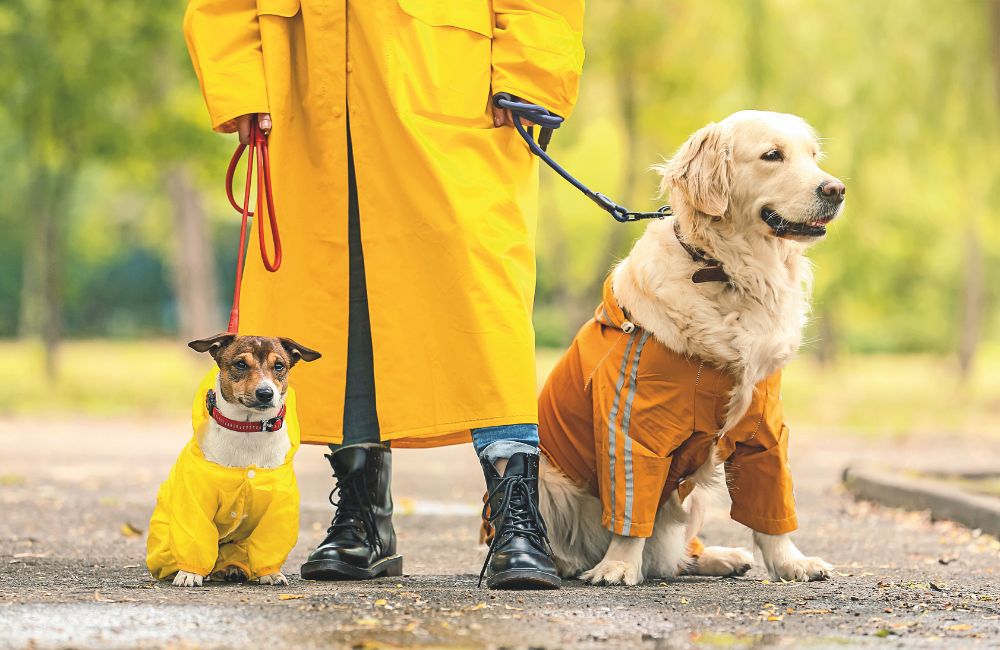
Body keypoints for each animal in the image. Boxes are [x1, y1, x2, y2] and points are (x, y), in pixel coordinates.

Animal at [146, 332, 318, 584]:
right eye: (240, 364)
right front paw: (189, 573)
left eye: (279, 366)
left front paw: (271, 573)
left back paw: (232, 568)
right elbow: (195, 537)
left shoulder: (278, 506)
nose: (265, 393)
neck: (248, 429)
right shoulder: (196, 501)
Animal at [536, 110, 840, 584]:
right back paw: (566, 563)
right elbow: (630, 508)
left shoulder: (764, 423)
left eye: (813, 156)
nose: (836, 189)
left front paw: (792, 561)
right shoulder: (634, 424)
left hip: (690, 494)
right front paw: (617, 566)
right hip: (540, 469)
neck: (723, 271)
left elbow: (772, 503)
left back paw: (718, 557)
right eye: (772, 155)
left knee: (674, 555)